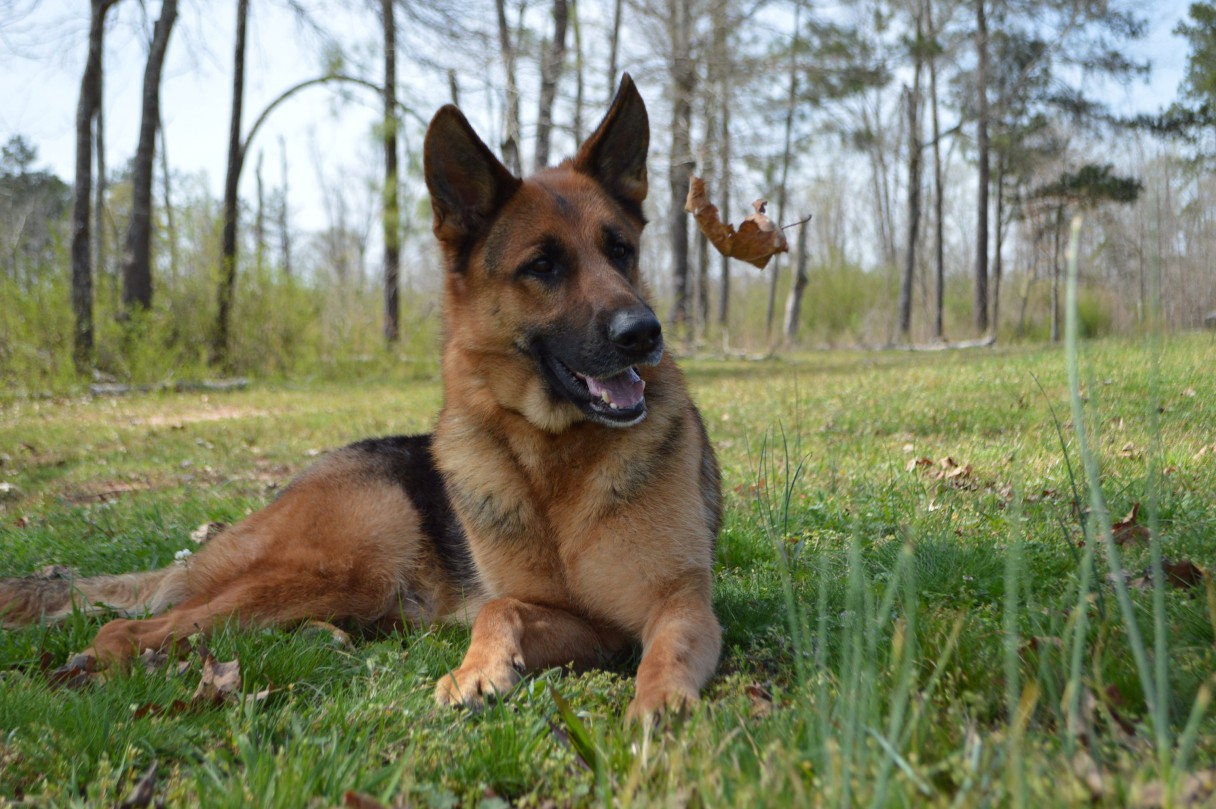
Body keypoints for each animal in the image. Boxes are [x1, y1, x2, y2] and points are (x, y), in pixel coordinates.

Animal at [0, 75, 719, 720]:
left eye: (620, 250)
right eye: (542, 265)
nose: (644, 333)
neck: (555, 457)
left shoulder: (671, 607)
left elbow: (663, 648)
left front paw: (660, 705)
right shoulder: (575, 616)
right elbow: (497, 603)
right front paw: (476, 669)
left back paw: (324, 640)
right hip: (350, 559)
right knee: (132, 627)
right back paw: (102, 659)